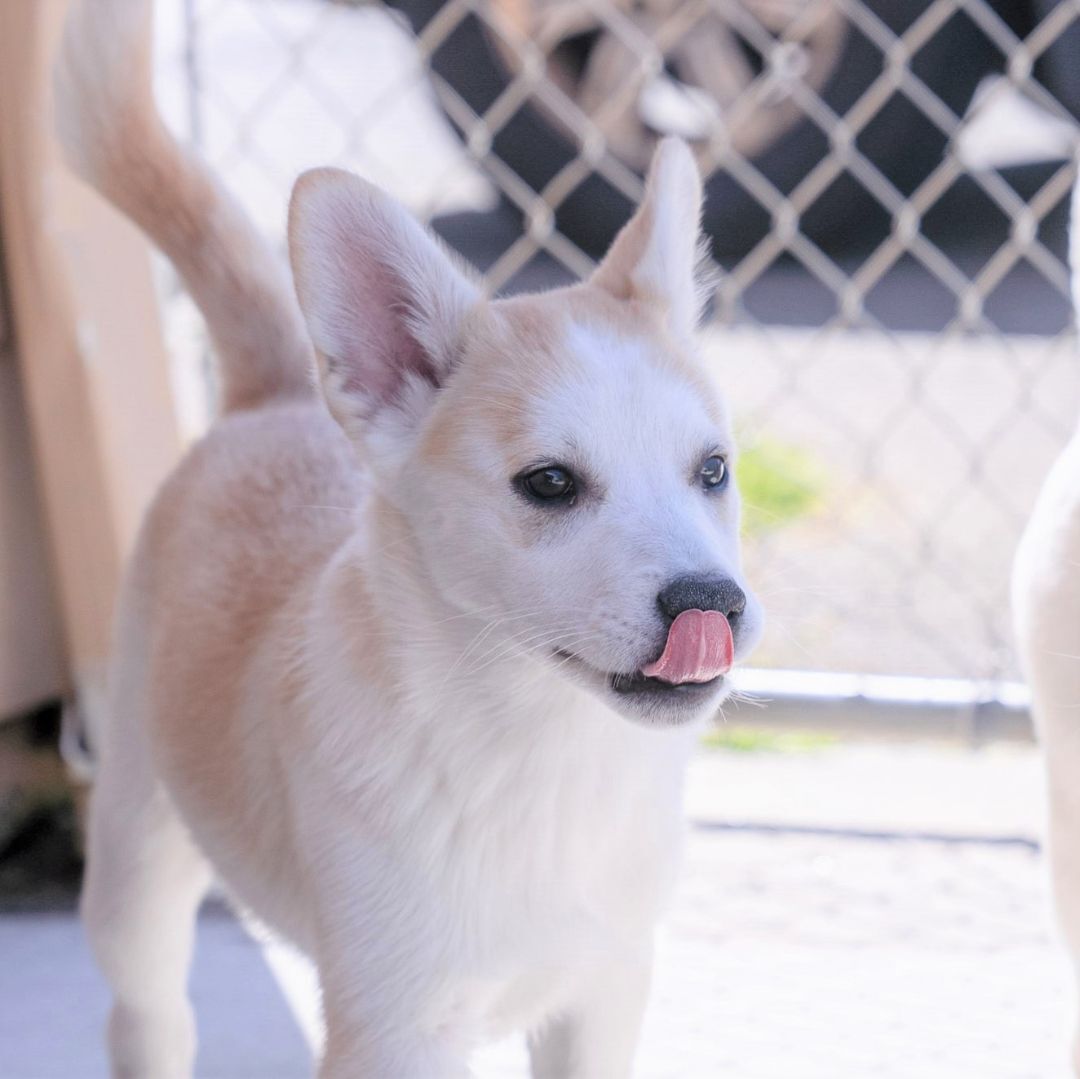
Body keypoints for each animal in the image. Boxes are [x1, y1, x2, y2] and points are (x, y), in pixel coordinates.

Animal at [61, 4, 760, 1075]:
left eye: (713, 470)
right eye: (549, 484)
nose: (710, 603)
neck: (538, 761)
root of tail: (275, 394)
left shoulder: (603, 992)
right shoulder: (396, 1031)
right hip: (137, 862)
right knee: (147, 1012)